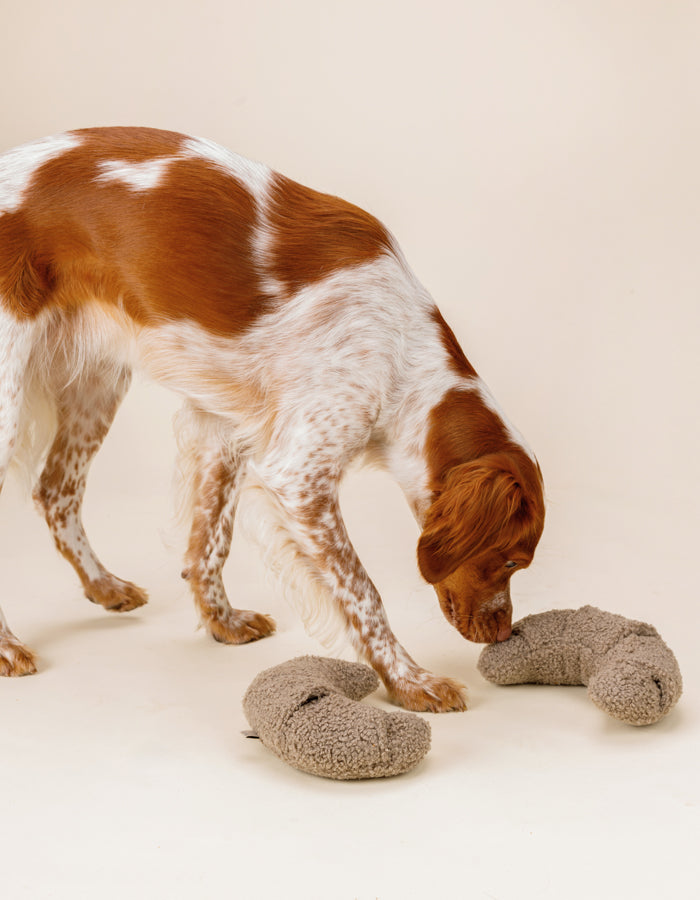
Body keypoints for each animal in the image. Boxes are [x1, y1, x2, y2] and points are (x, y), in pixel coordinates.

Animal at [0, 128, 544, 712]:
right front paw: (409, 681)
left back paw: (104, 586)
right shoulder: (299, 477)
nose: (504, 633)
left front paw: (222, 621)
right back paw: (8, 647)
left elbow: (210, 542)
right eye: (512, 562)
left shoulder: (222, 428)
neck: (400, 352)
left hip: (98, 383)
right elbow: (363, 591)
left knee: (56, 489)